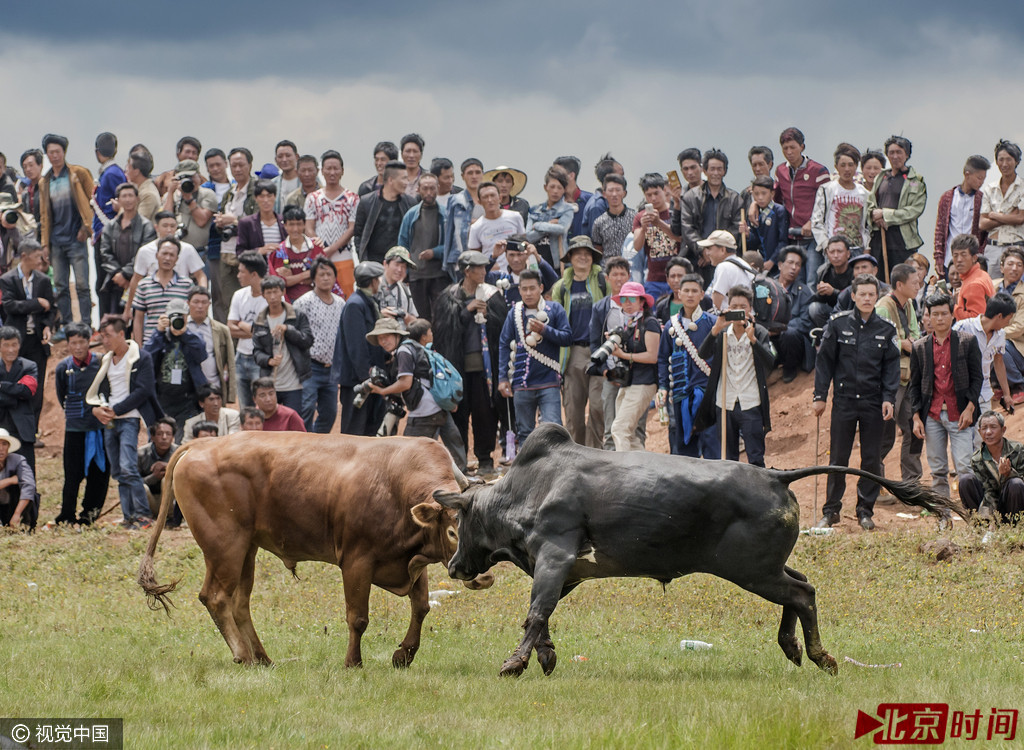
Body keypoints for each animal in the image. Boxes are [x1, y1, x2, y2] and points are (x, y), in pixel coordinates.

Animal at [137, 434, 491, 668]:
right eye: (452, 531)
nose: (482, 577)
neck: (395, 482)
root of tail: (200, 444)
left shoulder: (412, 562)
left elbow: (421, 608)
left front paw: (403, 654)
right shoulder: (356, 561)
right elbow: (358, 618)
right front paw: (353, 662)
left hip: (246, 550)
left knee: (239, 604)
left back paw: (262, 657)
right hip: (225, 548)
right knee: (215, 598)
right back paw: (243, 654)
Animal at [434, 424, 958, 676]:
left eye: (458, 521)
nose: (455, 567)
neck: (529, 487)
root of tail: (776, 475)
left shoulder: (555, 558)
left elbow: (535, 612)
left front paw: (515, 663)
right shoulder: (566, 572)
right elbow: (541, 615)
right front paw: (544, 657)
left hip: (753, 572)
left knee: (802, 595)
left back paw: (819, 656)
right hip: (767, 568)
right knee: (802, 587)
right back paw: (794, 648)